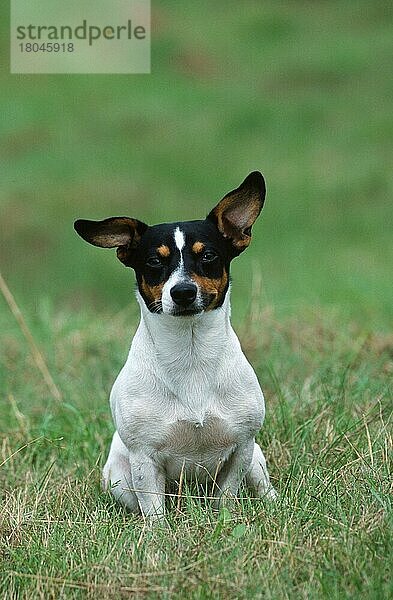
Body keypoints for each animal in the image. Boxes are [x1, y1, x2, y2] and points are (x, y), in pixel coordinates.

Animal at [74, 171, 276, 516]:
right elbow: (155, 511)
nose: (182, 292)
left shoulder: (242, 446)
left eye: (208, 255)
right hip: (118, 476)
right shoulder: (143, 458)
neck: (190, 351)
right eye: (155, 261)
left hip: (256, 459)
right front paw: (158, 530)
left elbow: (226, 496)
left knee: (262, 486)